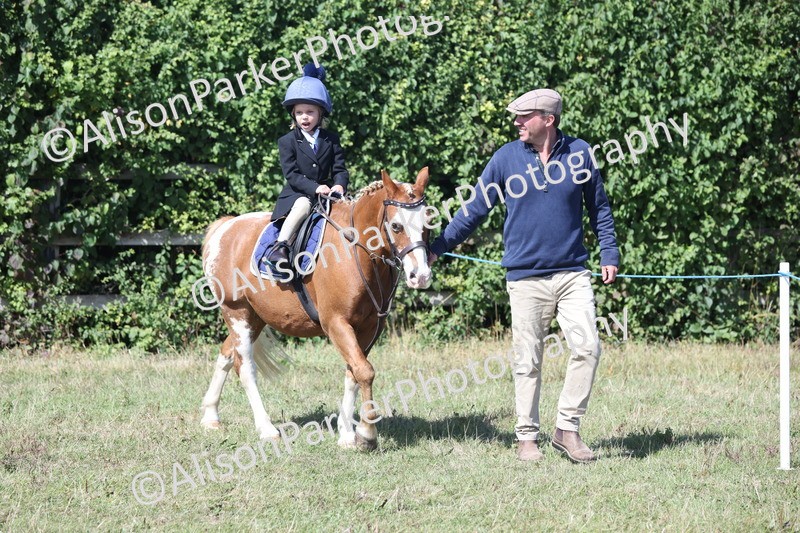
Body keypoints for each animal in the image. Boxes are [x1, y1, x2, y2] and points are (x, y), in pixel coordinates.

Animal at [198, 167, 432, 451]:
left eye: (428, 223)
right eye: (396, 226)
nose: (421, 276)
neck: (354, 250)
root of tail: (226, 226)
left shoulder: (368, 328)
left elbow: (354, 372)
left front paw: (347, 434)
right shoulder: (336, 323)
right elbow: (364, 371)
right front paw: (366, 434)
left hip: (255, 318)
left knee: (226, 353)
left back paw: (211, 416)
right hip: (237, 312)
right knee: (245, 367)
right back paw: (266, 429)